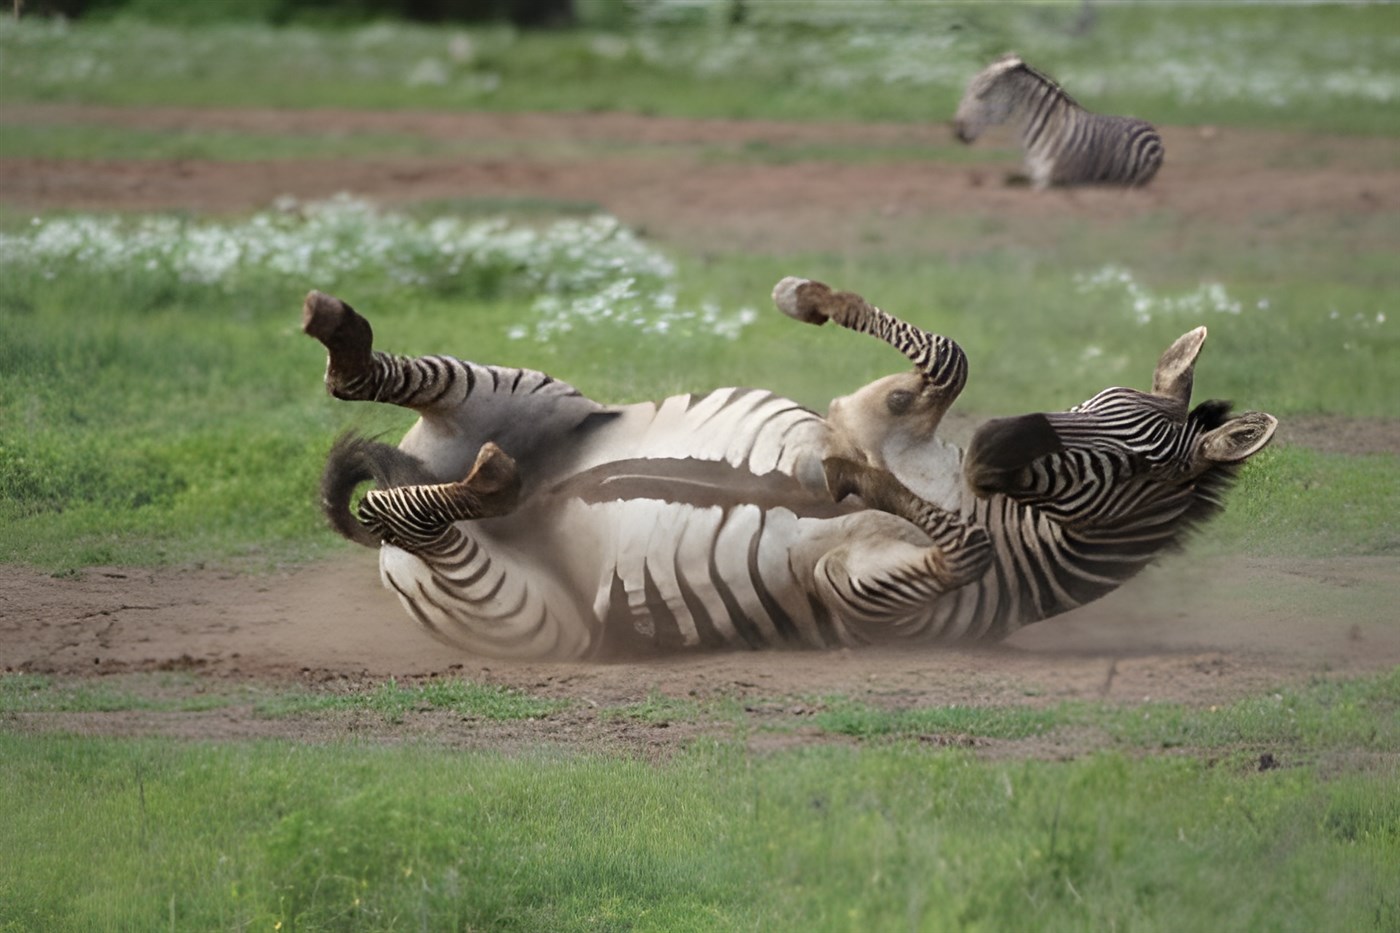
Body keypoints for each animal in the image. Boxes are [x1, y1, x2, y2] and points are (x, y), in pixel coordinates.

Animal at [304, 278, 1274, 659]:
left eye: (1132, 466)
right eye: (1095, 401)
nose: (996, 446)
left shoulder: (863, 597)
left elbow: (959, 545)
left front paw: (858, 482)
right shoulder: (873, 408)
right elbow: (949, 356)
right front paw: (810, 298)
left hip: (523, 611)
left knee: (402, 513)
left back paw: (483, 486)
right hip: (539, 395)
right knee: (357, 387)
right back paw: (340, 330)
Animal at [954, 53, 1164, 190]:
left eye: (982, 93)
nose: (957, 132)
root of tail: (1151, 128)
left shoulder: (1049, 181)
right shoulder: (1031, 173)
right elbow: (1009, 180)